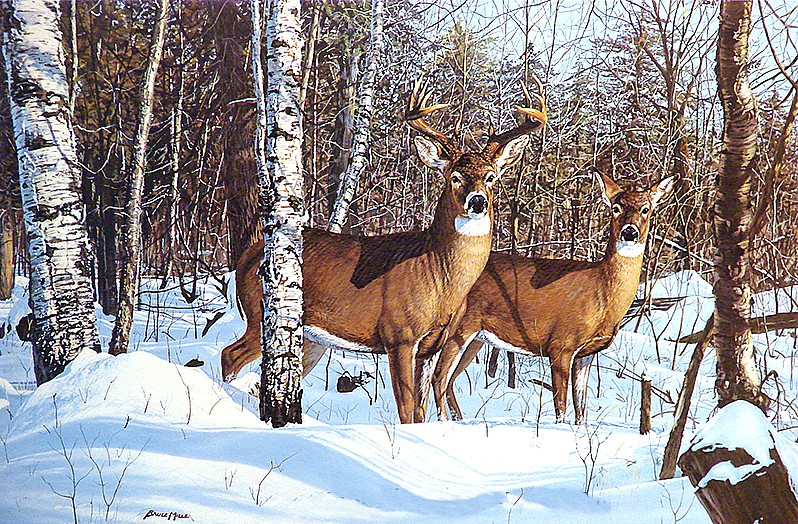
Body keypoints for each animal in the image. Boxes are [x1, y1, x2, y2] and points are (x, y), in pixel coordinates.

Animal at [220, 80, 547, 424]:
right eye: (454, 177)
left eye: (491, 177)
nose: (478, 201)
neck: (438, 275)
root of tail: (247, 256)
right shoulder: (399, 334)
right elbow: (405, 408)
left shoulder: (432, 345)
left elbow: (420, 409)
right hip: (261, 313)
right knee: (230, 354)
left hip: (311, 337)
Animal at [427, 172, 674, 424]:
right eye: (616, 208)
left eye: (645, 209)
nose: (629, 232)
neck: (602, 294)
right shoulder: (561, 344)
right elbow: (561, 409)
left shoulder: (586, 354)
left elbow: (581, 410)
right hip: (458, 330)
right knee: (438, 378)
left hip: (476, 337)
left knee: (449, 381)